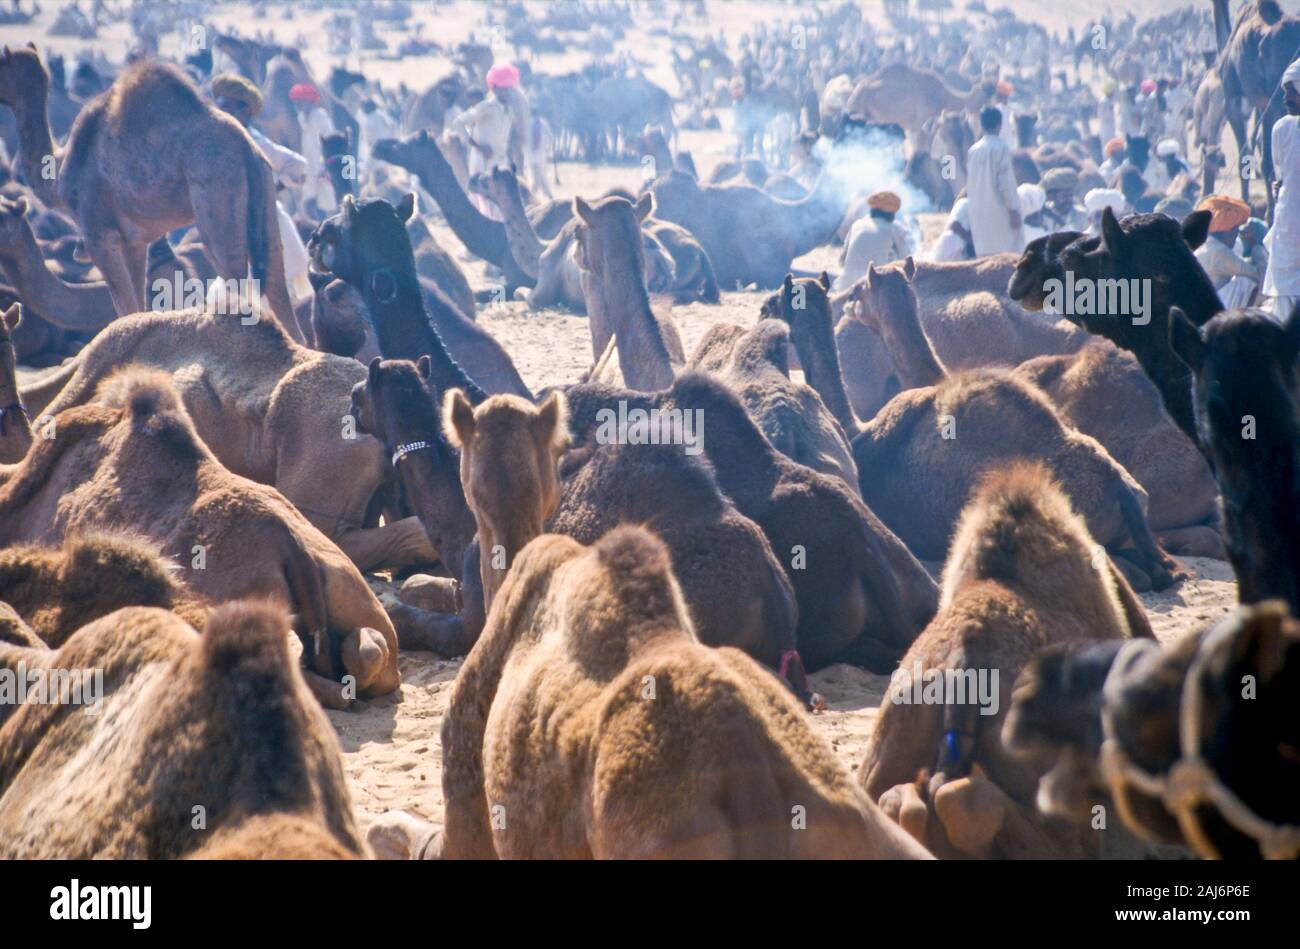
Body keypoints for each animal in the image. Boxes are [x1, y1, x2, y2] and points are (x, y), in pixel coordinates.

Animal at [0, 50, 304, 342]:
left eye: (4, 62)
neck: (61, 172)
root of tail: (247, 148)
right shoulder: (133, 243)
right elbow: (136, 307)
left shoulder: (100, 238)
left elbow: (124, 308)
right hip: (265, 196)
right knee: (275, 277)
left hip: (217, 197)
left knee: (235, 276)